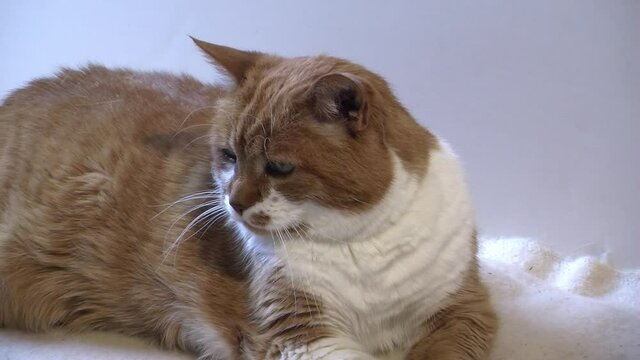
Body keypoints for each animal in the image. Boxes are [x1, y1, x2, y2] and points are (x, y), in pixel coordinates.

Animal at [0, 38, 498, 358]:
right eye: (228, 156)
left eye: (279, 168)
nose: (234, 202)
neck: (359, 243)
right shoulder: (295, 330)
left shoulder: (463, 309)